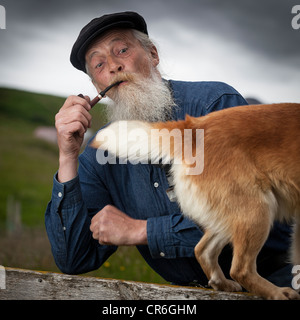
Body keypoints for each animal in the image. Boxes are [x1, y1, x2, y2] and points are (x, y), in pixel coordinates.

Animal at [91, 103, 300, 300]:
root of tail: (192, 128)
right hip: (257, 210)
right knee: (240, 268)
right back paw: (277, 293)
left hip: (231, 216)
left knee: (203, 250)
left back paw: (223, 283)